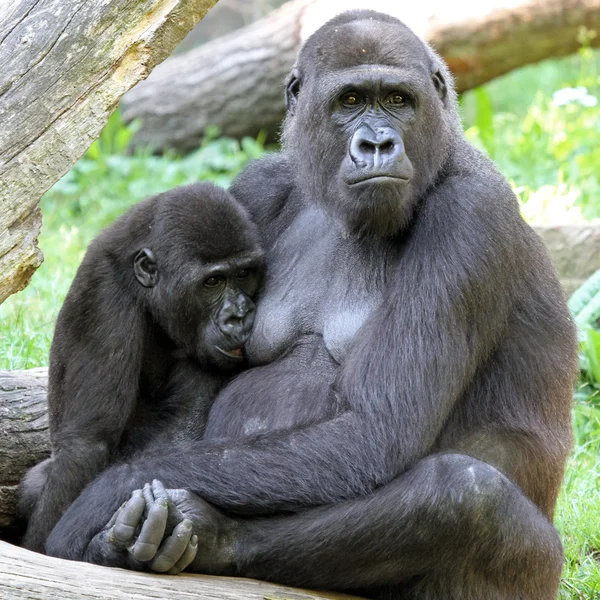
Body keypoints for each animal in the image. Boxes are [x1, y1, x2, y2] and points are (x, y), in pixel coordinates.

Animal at [47, 10, 576, 600]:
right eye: (350, 101)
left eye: (398, 99)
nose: (377, 145)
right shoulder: (255, 189)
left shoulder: (471, 214)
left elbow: (376, 427)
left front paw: (100, 496)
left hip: (535, 579)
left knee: (464, 493)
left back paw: (215, 536)